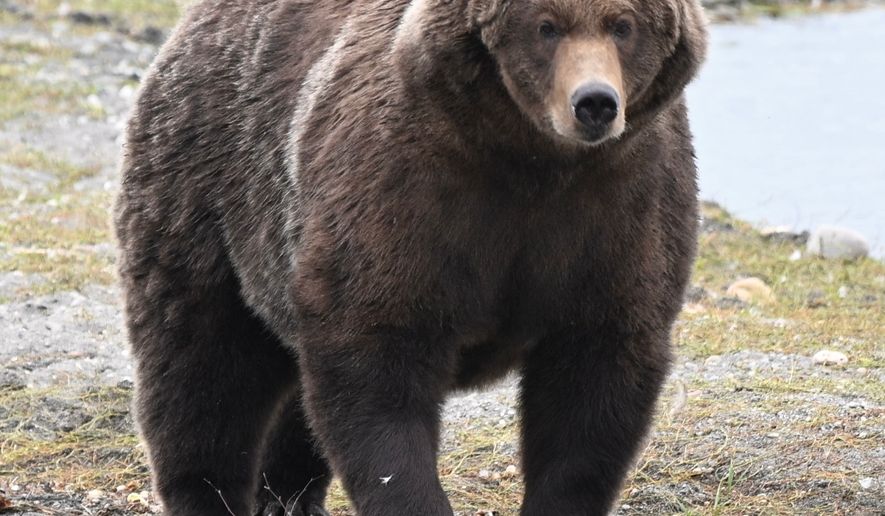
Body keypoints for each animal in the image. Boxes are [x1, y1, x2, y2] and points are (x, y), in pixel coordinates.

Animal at [114, 0, 707, 513]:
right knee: (201, 363)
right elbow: (377, 364)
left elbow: (594, 384)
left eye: (623, 26)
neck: (533, 162)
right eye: (546, 26)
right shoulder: (406, 193)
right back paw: (208, 492)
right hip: (211, 193)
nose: (595, 103)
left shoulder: (619, 210)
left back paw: (289, 495)